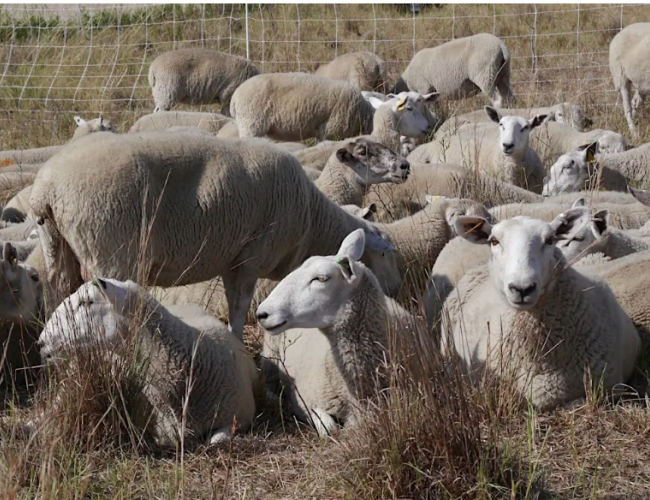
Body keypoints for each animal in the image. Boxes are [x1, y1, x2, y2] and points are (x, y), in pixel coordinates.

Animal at [29, 132, 401, 339]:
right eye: (384, 252)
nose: (396, 289)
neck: (312, 217)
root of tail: (47, 187)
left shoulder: (231, 260)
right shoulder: (252, 258)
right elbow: (239, 308)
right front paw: (239, 343)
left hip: (56, 246)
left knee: (60, 294)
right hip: (109, 249)